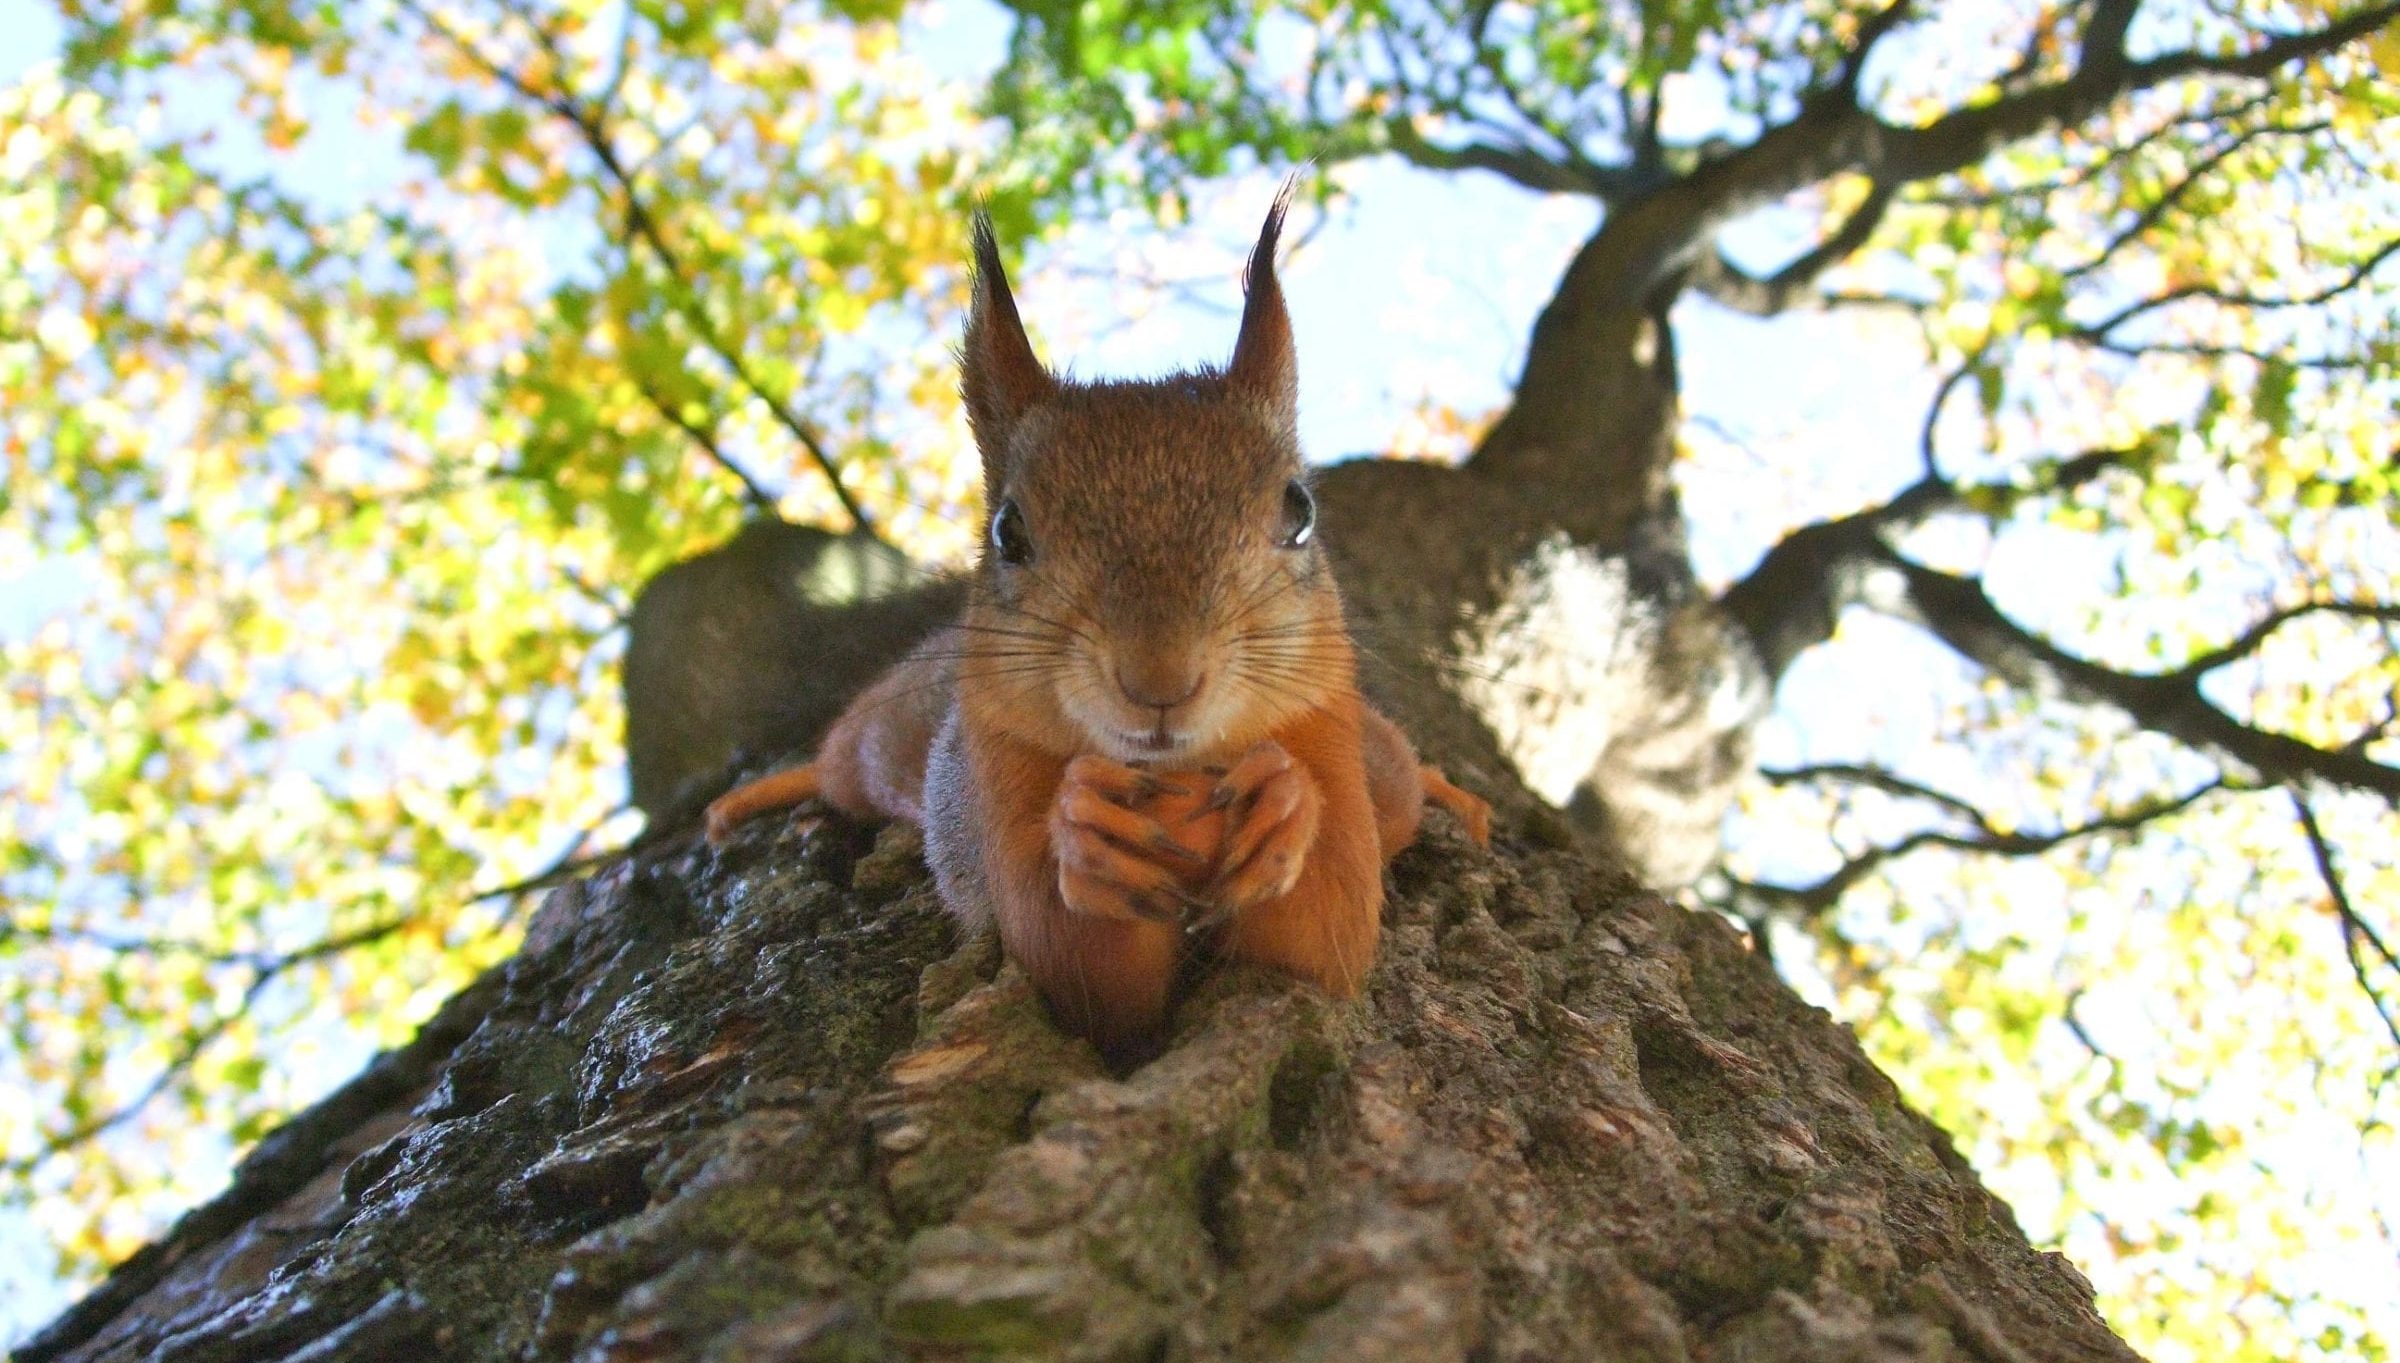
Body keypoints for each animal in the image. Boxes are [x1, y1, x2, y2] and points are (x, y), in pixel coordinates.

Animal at [704, 194, 1490, 1056]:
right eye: (1008, 532)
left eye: (1300, 511)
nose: (1160, 680)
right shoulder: (998, 779)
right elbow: (1081, 971)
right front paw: (1086, 830)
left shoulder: (1328, 739)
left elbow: (1325, 938)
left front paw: (1284, 801)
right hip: (884, 742)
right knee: (838, 763)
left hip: (1379, 762)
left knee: (1404, 777)